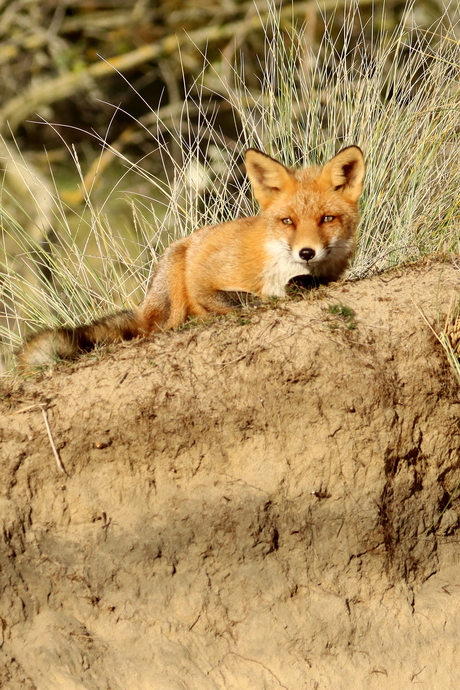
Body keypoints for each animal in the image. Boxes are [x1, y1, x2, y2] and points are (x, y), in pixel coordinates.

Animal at [17, 144, 362, 366]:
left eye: (327, 219)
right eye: (287, 221)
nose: (306, 252)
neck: (280, 265)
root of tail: (145, 306)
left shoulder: (327, 273)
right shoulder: (205, 278)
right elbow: (240, 299)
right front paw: (262, 299)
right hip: (175, 267)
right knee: (162, 326)